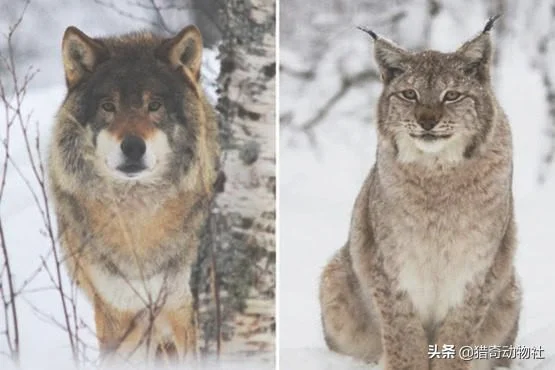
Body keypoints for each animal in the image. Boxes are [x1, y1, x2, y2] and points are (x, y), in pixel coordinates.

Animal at [47, 26, 220, 364]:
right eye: (108, 106)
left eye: (154, 106)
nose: (133, 147)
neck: (139, 223)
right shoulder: (118, 316)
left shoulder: (186, 314)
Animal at [318, 15, 520, 368]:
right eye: (409, 94)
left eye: (452, 95)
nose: (427, 121)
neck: (437, 173)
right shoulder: (389, 262)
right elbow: (404, 335)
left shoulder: (478, 265)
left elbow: (458, 335)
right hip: (334, 276)